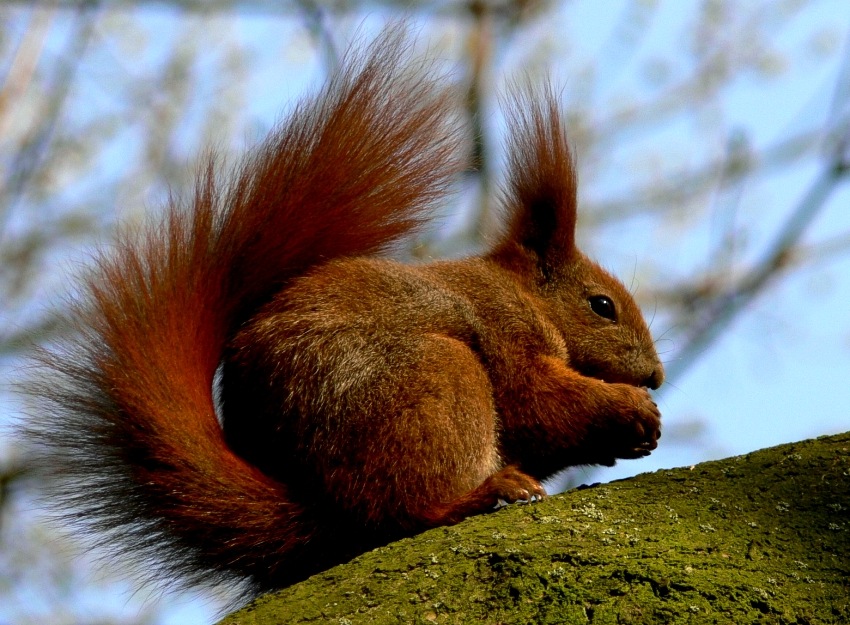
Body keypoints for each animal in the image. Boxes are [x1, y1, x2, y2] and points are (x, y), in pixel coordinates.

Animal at [24, 33, 664, 596]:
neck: (523, 295)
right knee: (402, 510)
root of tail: (320, 503)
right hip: (433, 381)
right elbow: (538, 402)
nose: (657, 376)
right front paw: (627, 408)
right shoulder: (504, 330)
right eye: (602, 306)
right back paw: (482, 494)